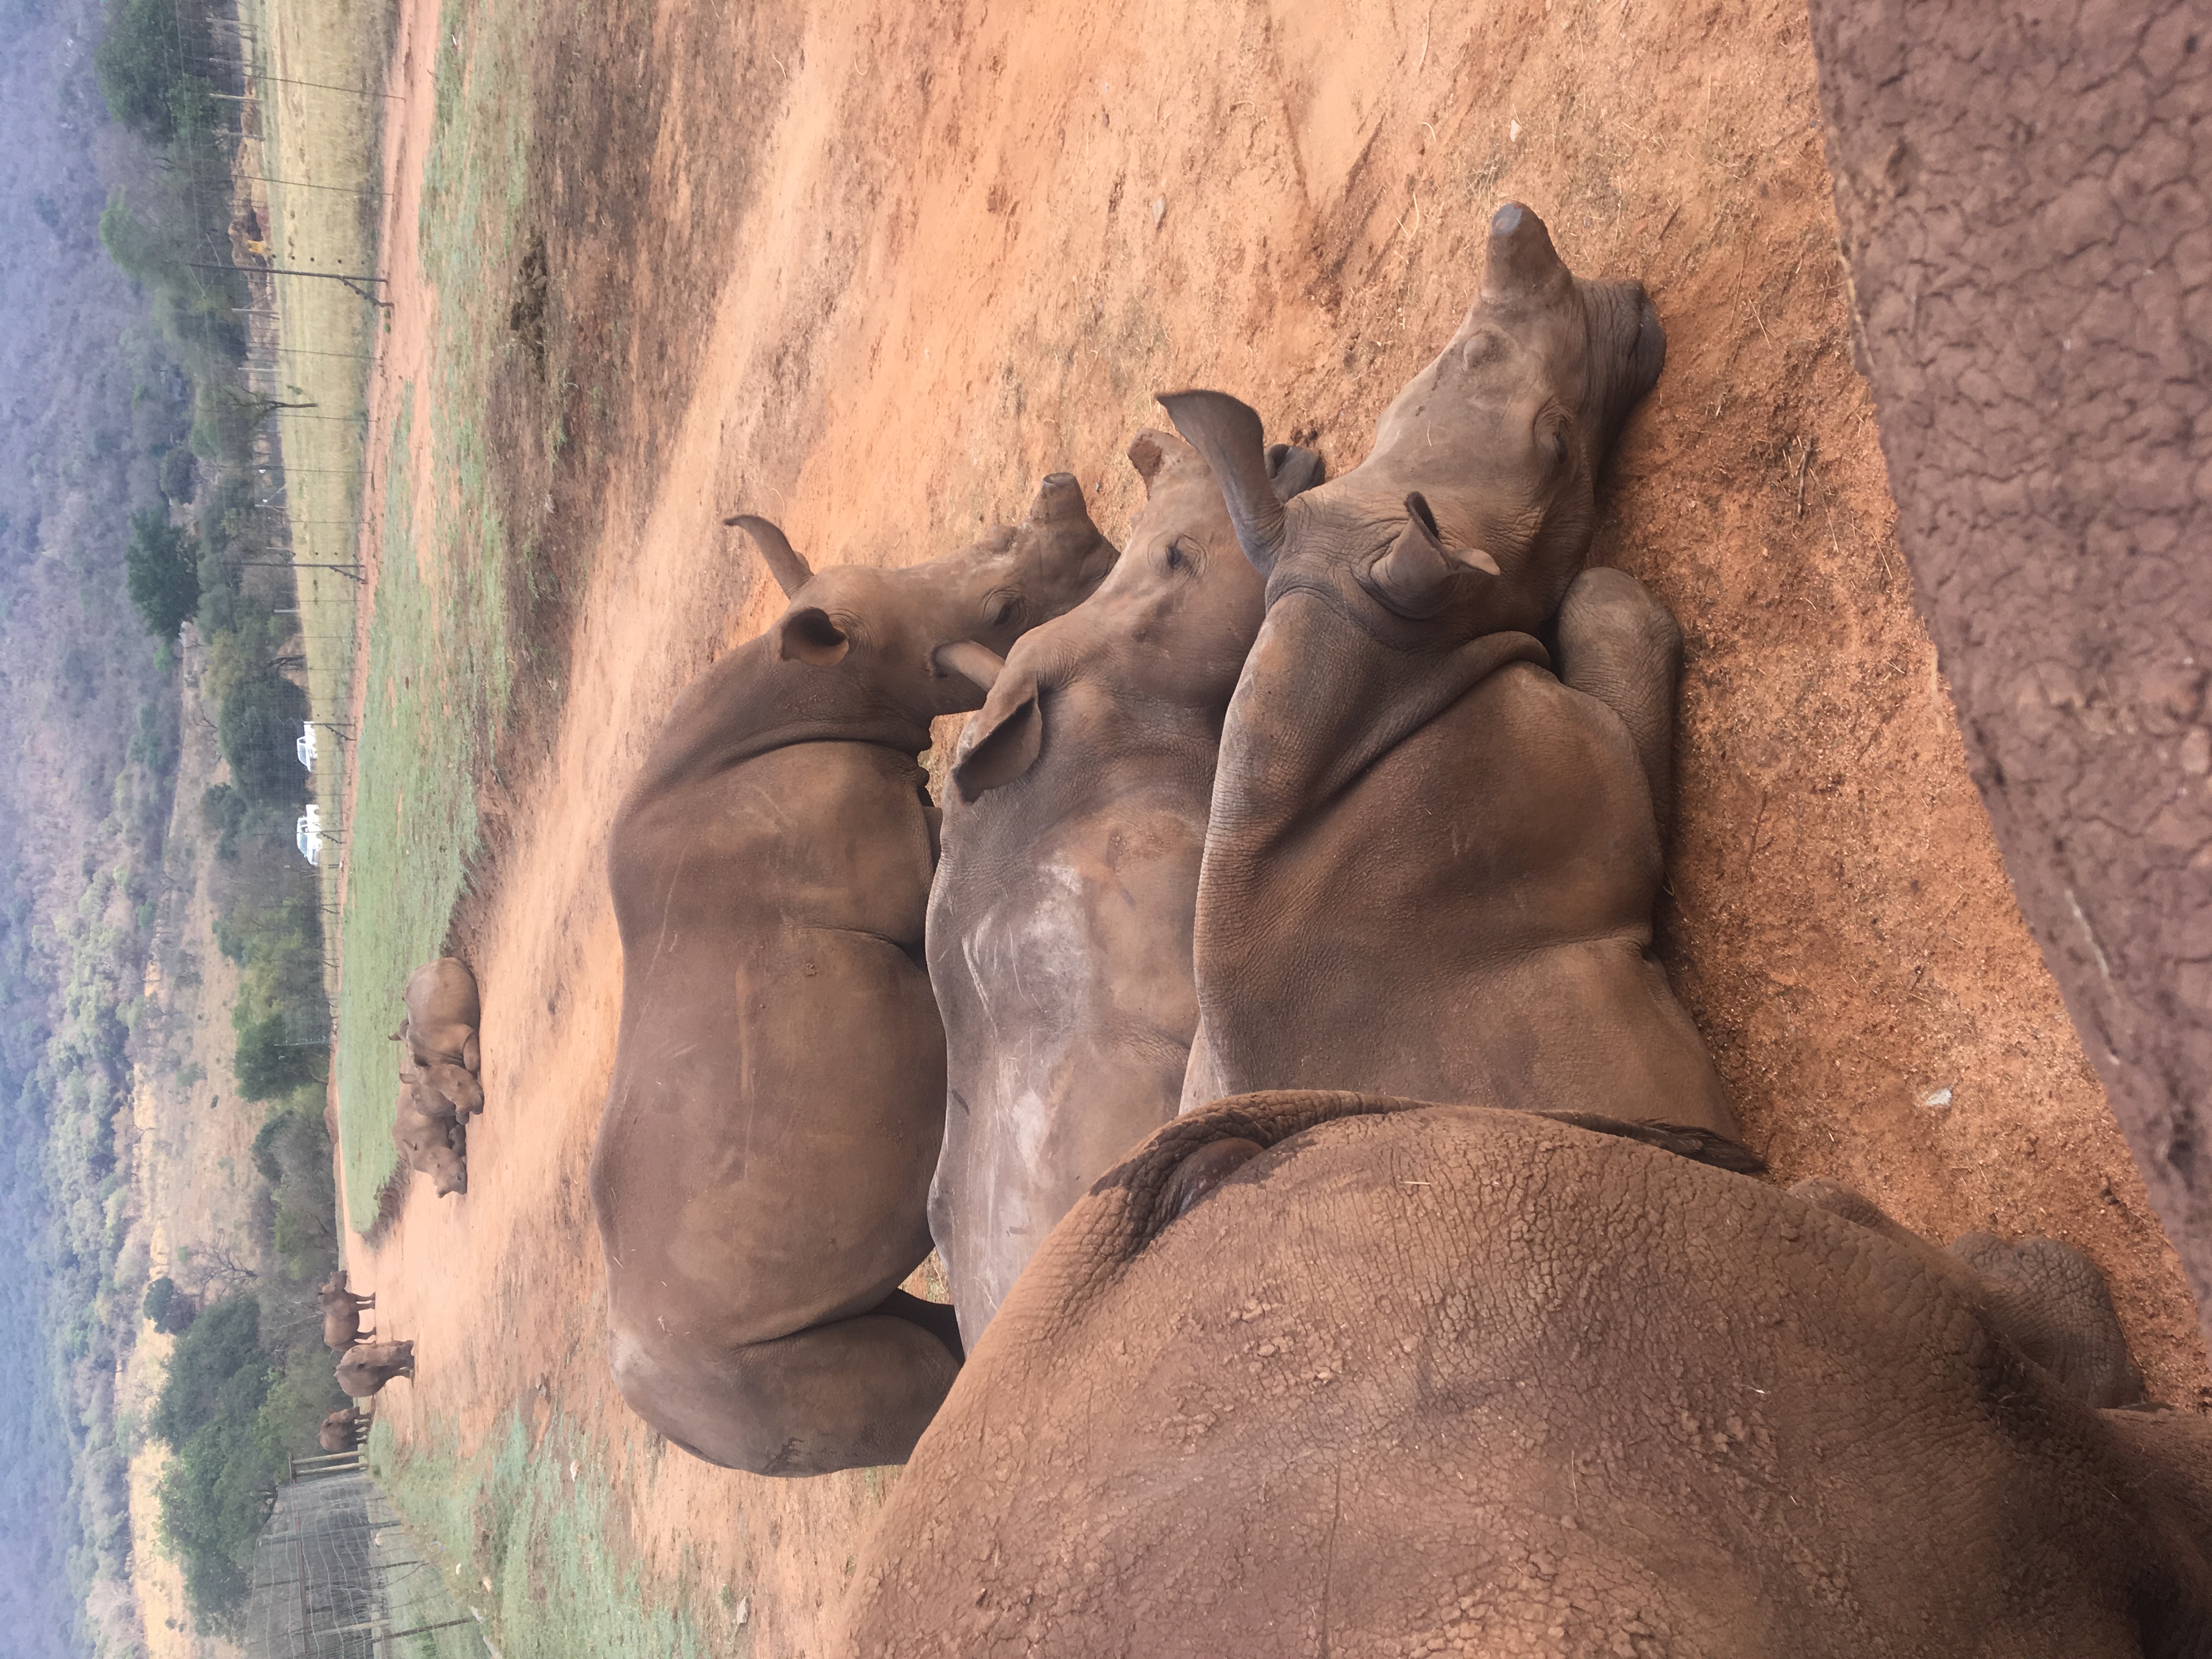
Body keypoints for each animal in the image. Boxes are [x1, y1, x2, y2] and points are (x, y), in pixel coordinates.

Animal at [393, 958, 482, 1118]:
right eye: (446, 1097)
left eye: (459, 1084)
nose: (474, 1109)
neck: (437, 1061)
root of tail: (427, 964)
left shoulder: (463, 1035)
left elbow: (472, 1064)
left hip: (449, 962)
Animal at [590, 476, 1117, 1476]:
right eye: (1002, 610)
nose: (1093, 533)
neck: (822, 681)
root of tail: (659, 1414)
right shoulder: (881, 851)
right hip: (734, 1377)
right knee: (905, 1372)